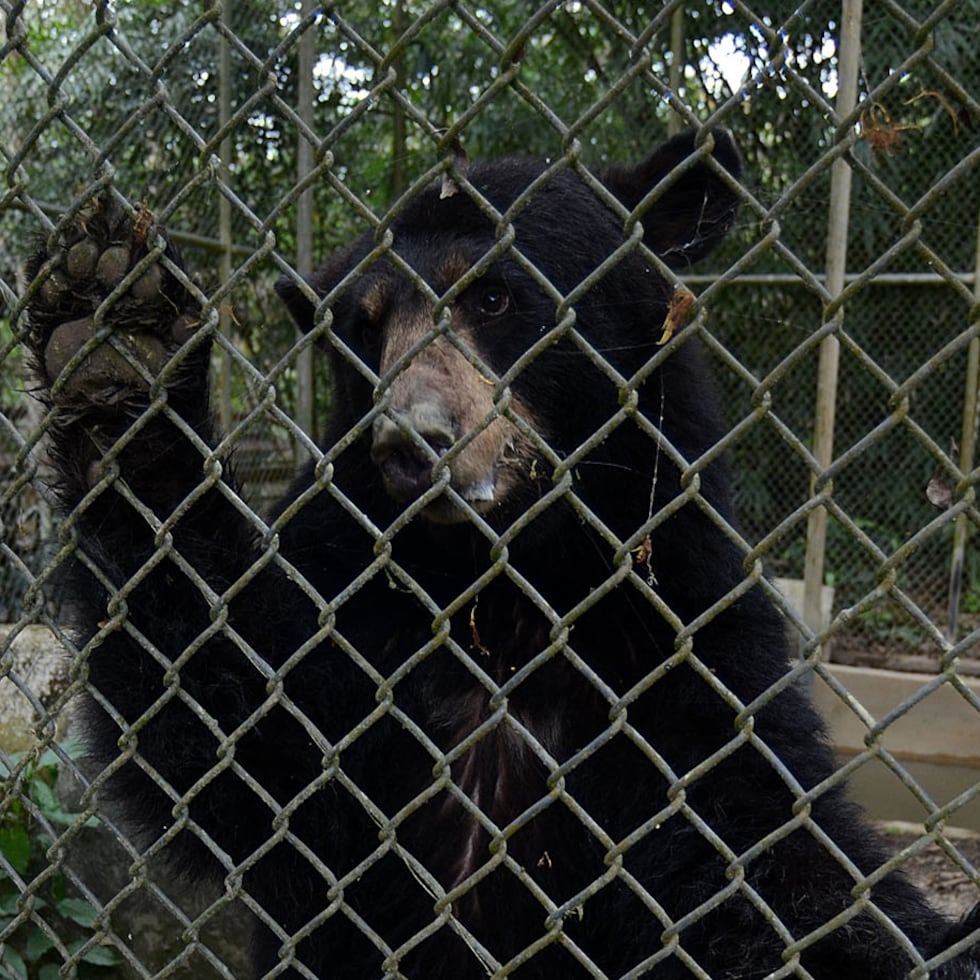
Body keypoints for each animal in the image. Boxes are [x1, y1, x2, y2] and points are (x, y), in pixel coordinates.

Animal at [23, 132, 980, 980]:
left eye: (491, 299)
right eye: (364, 328)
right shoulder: (351, 602)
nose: (411, 442)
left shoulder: (680, 617)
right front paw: (115, 340)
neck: (503, 579)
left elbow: (755, 839)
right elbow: (244, 740)